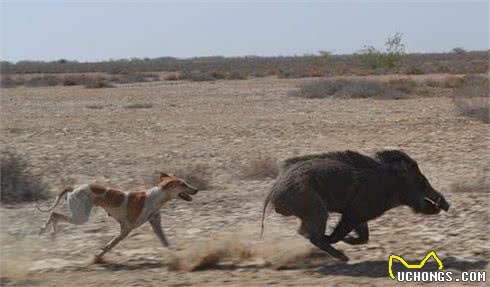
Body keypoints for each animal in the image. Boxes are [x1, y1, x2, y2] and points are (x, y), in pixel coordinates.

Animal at [38, 173, 199, 264]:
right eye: (183, 184)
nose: (196, 189)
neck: (157, 197)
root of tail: (74, 188)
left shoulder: (155, 225)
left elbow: (166, 242)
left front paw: (176, 256)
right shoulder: (127, 229)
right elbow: (109, 245)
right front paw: (97, 257)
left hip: (78, 215)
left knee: (55, 215)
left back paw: (51, 234)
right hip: (80, 216)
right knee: (54, 214)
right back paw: (46, 232)